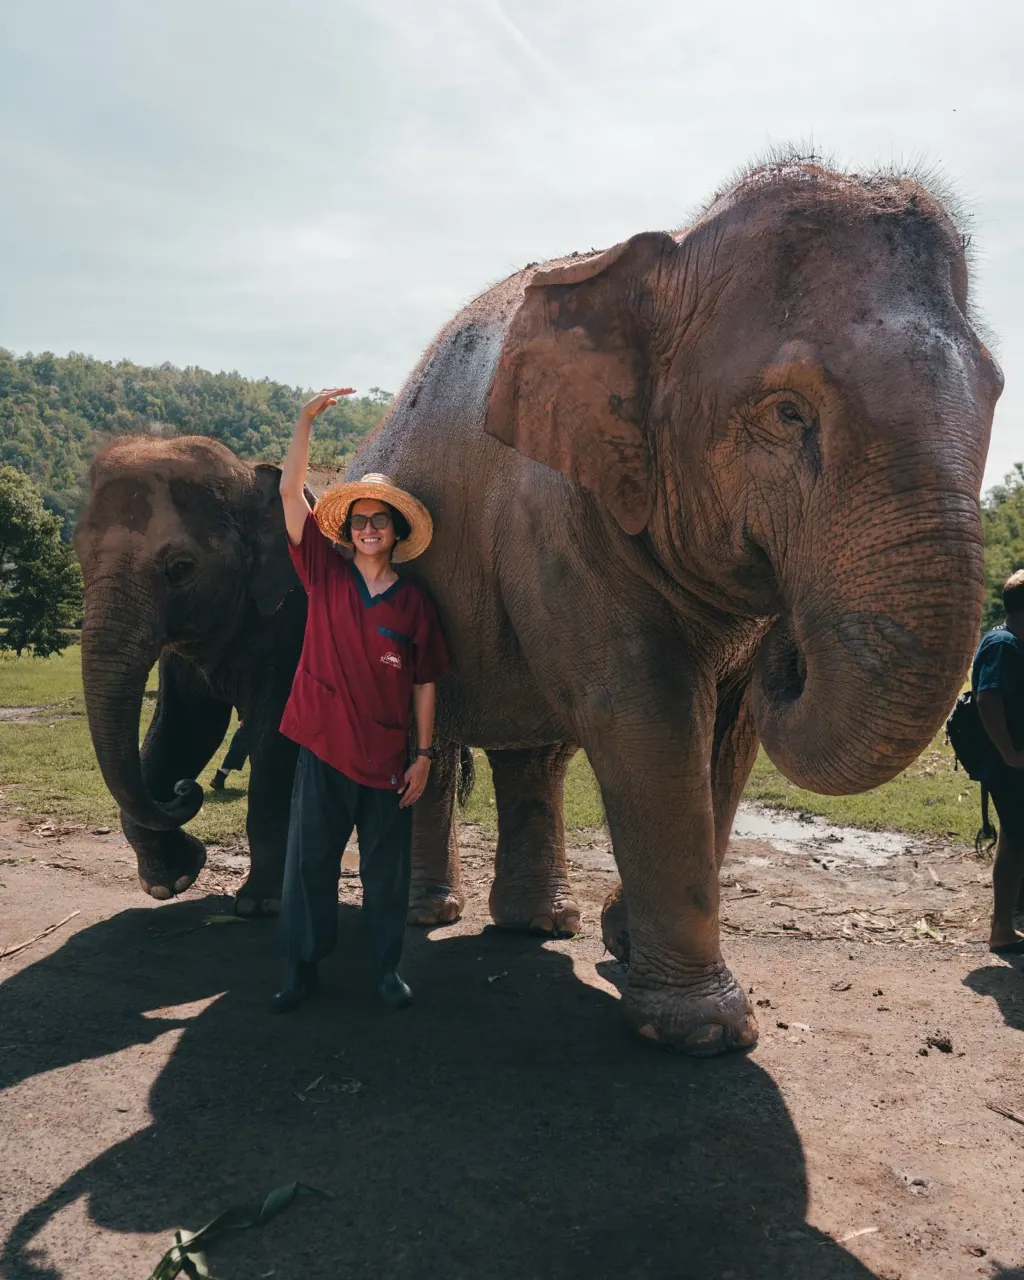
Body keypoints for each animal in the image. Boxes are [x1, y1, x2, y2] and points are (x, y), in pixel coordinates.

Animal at [346, 158, 1003, 1056]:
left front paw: (623, 945)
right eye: (788, 412)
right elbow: (644, 714)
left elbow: (731, 733)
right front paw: (706, 1033)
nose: (789, 646)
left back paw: (539, 926)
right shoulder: (559, 515)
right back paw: (428, 919)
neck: (668, 251)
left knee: (531, 752)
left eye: (997, 390)